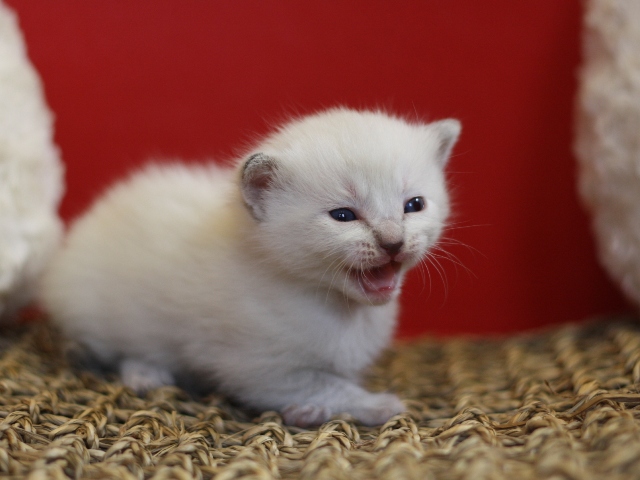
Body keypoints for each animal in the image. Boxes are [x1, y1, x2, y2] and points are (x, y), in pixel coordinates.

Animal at [40, 109, 458, 428]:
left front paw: (312, 412)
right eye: (343, 216)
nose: (393, 241)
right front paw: (377, 404)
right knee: (116, 350)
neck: (340, 308)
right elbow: (324, 384)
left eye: (414, 205)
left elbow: (333, 381)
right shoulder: (260, 368)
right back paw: (146, 373)